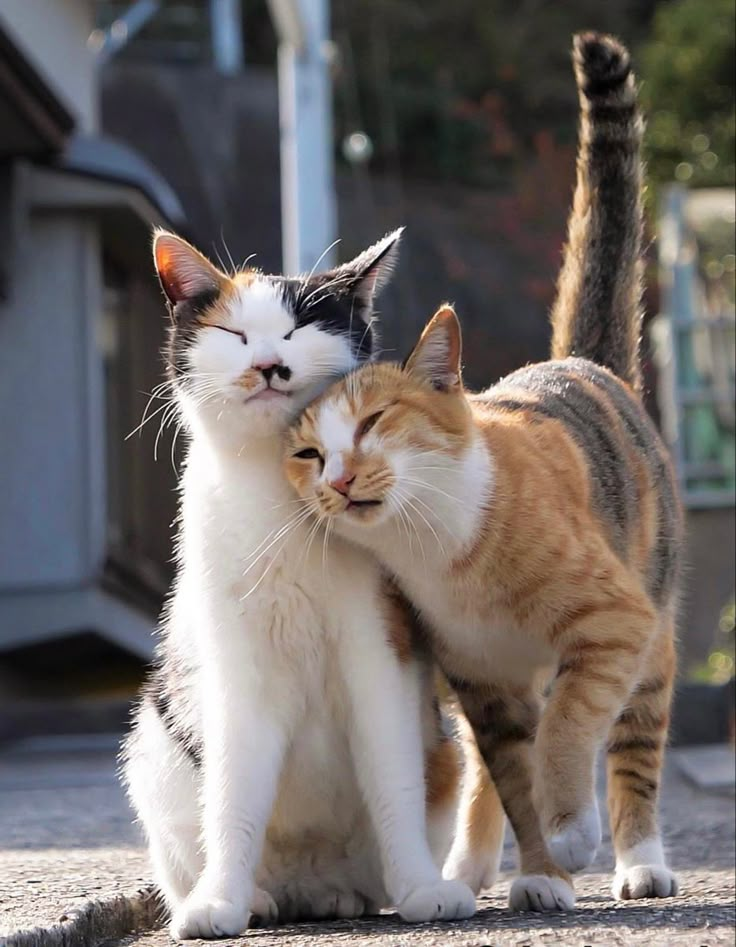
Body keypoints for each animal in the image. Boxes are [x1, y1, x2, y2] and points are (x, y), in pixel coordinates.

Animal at [122, 230, 500, 940]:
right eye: (235, 333)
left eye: (298, 329)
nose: (270, 364)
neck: (283, 505)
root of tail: (310, 882)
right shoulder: (236, 669)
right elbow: (234, 790)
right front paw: (220, 901)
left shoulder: (378, 649)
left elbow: (391, 776)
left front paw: (419, 887)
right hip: (154, 748)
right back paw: (252, 898)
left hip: (440, 756)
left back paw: (356, 894)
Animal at [286, 33, 684, 912]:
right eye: (307, 454)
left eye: (373, 422)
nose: (340, 481)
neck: (439, 547)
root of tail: (583, 359)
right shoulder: (481, 680)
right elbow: (510, 773)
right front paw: (541, 870)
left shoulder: (613, 622)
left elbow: (570, 722)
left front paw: (570, 831)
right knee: (478, 773)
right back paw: (469, 866)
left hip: (656, 623)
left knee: (635, 743)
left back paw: (640, 861)